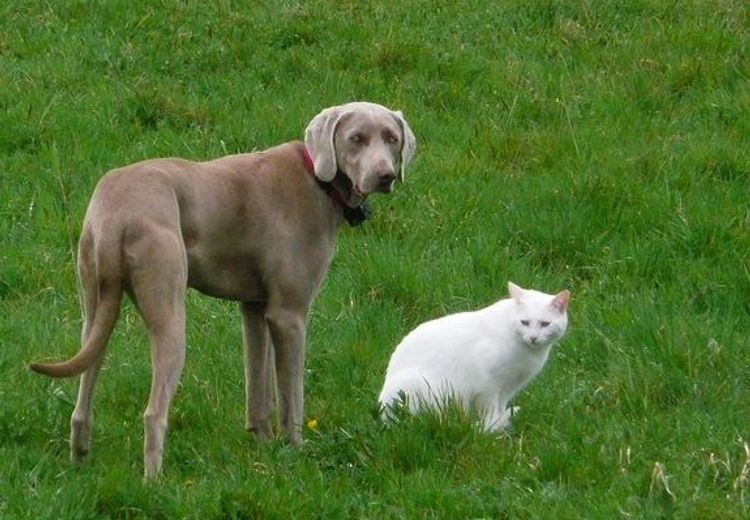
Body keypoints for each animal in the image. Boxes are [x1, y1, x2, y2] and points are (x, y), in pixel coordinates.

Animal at [378, 282, 572, 432]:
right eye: (524, 322)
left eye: (545, 324)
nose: (533, 337)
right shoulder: (489, 386)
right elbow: (490, 411)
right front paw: (493, 426)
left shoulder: (508, 388)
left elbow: (500, 407)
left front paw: (499, 422)